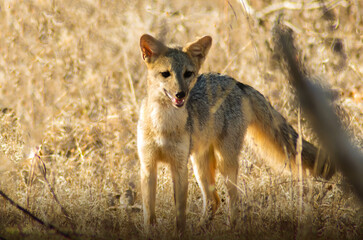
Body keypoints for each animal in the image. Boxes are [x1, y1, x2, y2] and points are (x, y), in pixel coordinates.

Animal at [136, 33, 336, 234]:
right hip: (200, 164)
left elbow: (180, 214)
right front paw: (149, 232)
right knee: (214, 201)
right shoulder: (148, 166)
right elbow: (148, 212)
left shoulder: (179, 167)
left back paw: (230, 229)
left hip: (224, 163)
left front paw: (179, 233)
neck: (162, 125)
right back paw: (201, 228)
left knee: (233, 200)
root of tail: (237, 83)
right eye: (166, 74)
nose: (181, 94)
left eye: (188, 74)